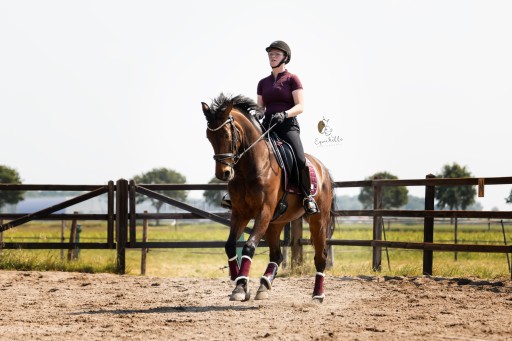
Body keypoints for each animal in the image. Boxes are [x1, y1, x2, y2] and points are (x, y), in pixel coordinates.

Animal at [200, 92, 336, 300]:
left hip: (318, 220)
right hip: (276, 222)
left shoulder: (263, 212)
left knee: (320, 257)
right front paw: (237, 279)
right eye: (209, 137)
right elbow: (230, 245)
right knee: (276, 255)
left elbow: (248, 246)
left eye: (227, 135)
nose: (223, 173)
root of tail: (323, 169)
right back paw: (264, 285)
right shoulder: (240, 213)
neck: (252, 167)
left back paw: (317, 295)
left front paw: (241, 286)